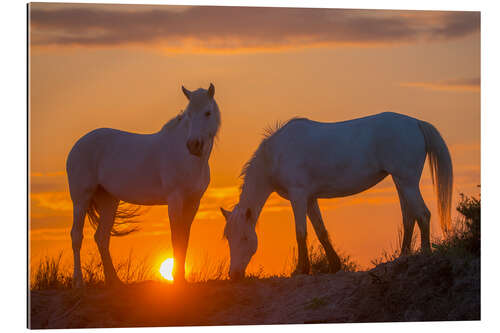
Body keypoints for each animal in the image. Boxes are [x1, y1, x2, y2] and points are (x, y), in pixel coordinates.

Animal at [65, 83, 220, 286]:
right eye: (188, 114)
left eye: (207, 112)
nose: (193, 145)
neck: (189, 159)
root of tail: (77, 145)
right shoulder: (175, 199)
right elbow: (176, 236)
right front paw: (177, 279)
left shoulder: (193, 202)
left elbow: (184, 237)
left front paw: (182, 279)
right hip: (81, 199)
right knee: (76, 236)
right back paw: (78, 281)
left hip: (109, 200)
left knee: (101, 237)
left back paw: (114, 281)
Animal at [221, 112, 452, 280]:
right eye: (229, 238)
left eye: (244, 238)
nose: (234, 275)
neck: (276, 154)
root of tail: (416, 123)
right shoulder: (310, 198)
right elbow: (320, 231)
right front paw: (334, 265)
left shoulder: (298, 196)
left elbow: (300, 232)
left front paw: (301, 270)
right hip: (401, 182)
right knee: (409, 218)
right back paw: (402, 257)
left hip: (407, 181)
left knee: (423, 214)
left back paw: (424, 254)